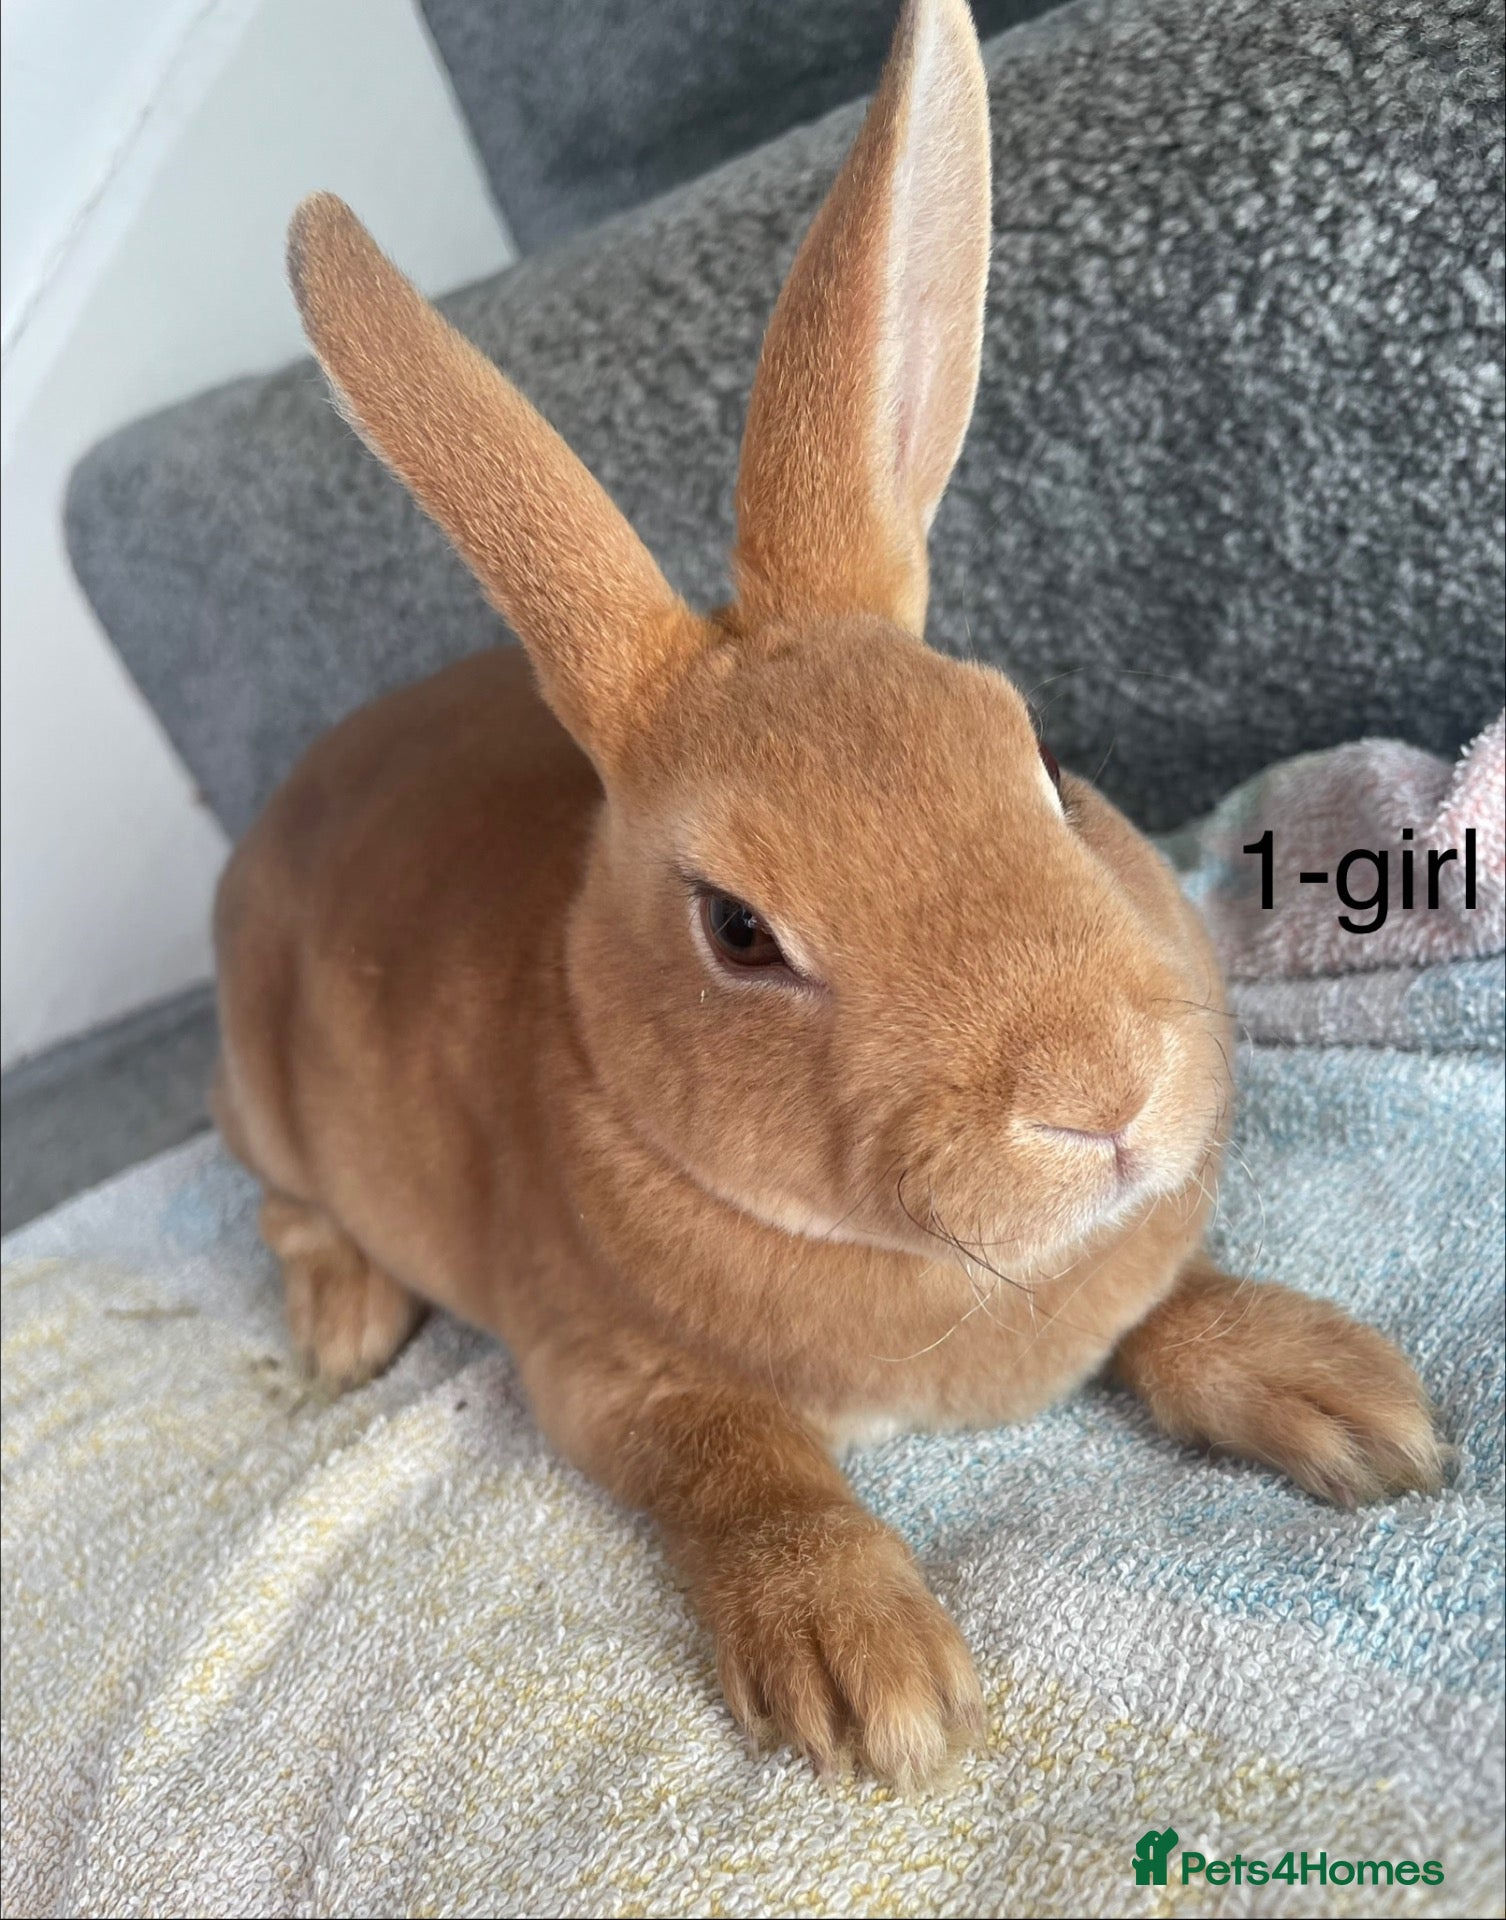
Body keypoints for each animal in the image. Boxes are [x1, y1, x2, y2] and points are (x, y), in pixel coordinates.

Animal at [214, 0, 1444, 1787]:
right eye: (737, 933)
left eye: (1038, 757)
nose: (1101, 1094)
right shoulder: (609, 1377)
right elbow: (752, 1471)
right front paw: (867, 1677)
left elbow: (1164, 1310)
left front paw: (1347, 1398)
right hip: (260, 1094)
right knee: (281, 1203)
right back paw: (340, 1326)